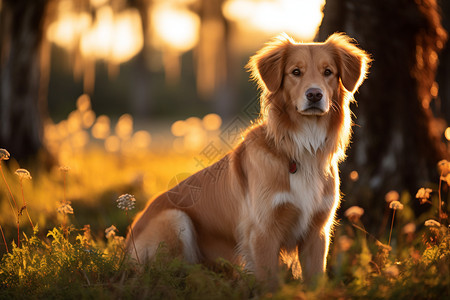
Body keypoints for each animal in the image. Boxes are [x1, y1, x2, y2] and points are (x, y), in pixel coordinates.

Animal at [125, 32, 370, 288]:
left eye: (328, 72)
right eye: (295, 72)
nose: (314, 94)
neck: (302, 147)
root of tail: (127, 243)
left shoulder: (317, 231)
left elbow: (315, 279)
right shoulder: (262, 231)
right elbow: (269, 282)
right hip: (174, 217)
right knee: (164, 274)